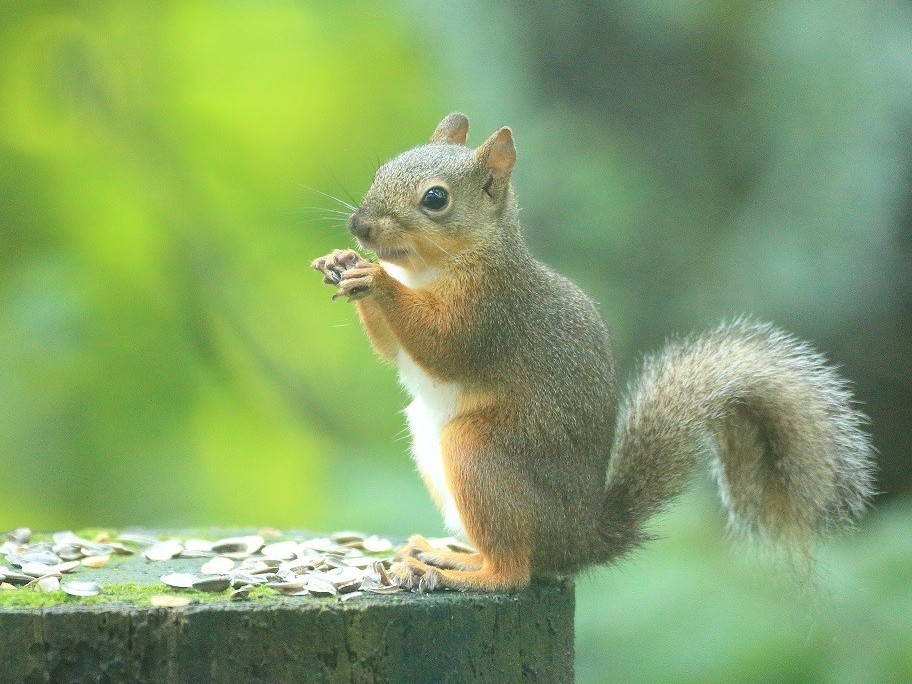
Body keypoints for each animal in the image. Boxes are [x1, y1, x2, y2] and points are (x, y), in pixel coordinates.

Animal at [310, 113, 872, 592]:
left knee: (514, 571)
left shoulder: (493, 310)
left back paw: (456, 572)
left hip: (480, 451)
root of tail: (579, 540)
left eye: (435, 199)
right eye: (381, 170)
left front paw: (375, 276)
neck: (431, 268)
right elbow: (391, 350)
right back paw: (447, 553)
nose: (359, 227)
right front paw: (341, 262)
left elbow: (443, 345)